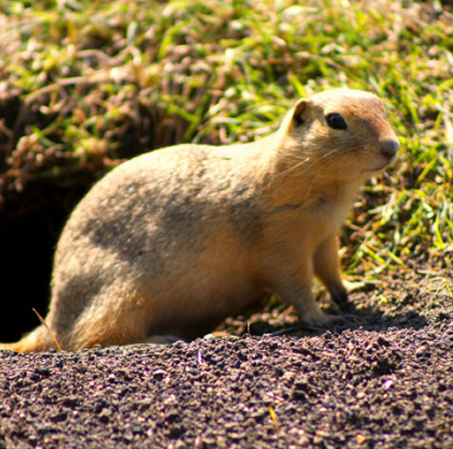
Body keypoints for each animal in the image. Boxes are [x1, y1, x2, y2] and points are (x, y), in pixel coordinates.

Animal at [1, 87, 400, 352]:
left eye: (384, 106)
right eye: (335, 120)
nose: (392, 147)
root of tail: (54, 313)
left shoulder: (325, 235)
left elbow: (331, 270)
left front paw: (353, 292)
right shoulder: (281, 240)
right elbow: (296, 285)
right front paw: (324, 318)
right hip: (123, 292)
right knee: (85, 339)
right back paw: (159, 339)